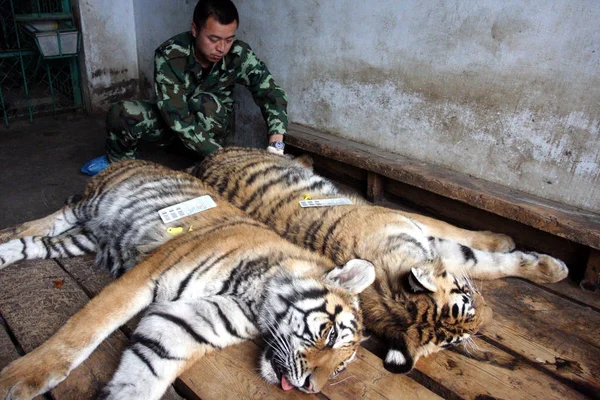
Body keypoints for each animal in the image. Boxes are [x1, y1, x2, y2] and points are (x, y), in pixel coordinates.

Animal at [0, 160, 376, 400]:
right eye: (329, 335)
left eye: (340, 368)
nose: (310, 388)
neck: (254, 303)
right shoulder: (148, 274)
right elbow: (85, 328)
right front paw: (17, 380)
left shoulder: (185, 323)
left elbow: (146, 373)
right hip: (90, 204)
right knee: (47, 221)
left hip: (86, 238)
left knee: (36, 244)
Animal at [190, 148, 568, 376]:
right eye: (460, 337)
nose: (490, 315)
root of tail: (205, 159)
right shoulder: (418, 230)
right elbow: (475, 254)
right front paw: (534, 258)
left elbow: (473, 249)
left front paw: (531, 258)